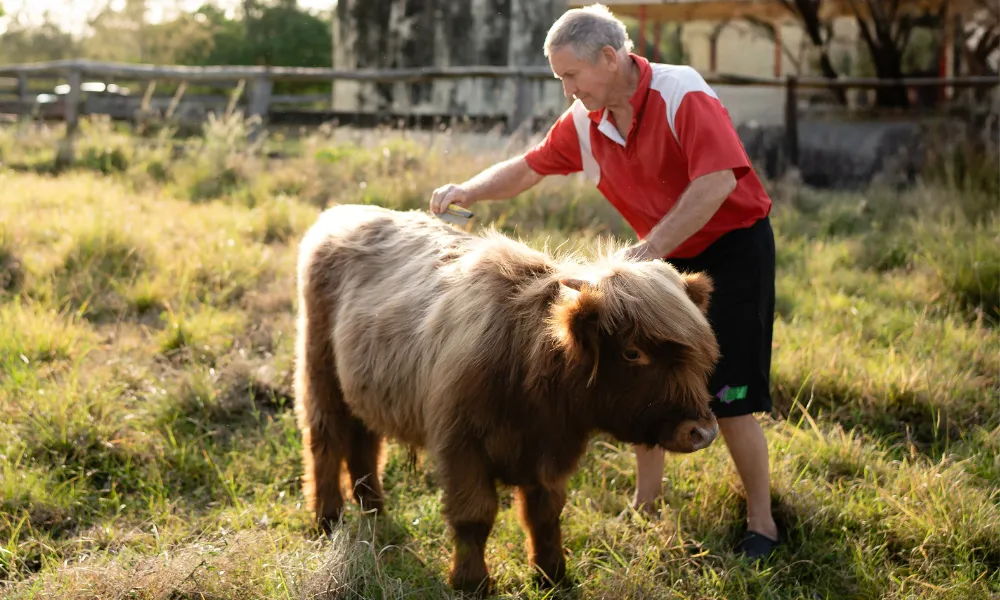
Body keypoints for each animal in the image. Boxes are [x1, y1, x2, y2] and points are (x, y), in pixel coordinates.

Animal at [293, 203, 720, 596]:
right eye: (633, 352)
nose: (701, 431)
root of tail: (342, 212)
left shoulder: (550, 456)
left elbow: (545, 514)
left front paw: (553, 575)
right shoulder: (460, 446)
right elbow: (474, 515)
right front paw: (471, 583)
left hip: (365, 386)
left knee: (364, 440)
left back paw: (374, 508)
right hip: (319, 371)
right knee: (326, 439)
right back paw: (328, 517)